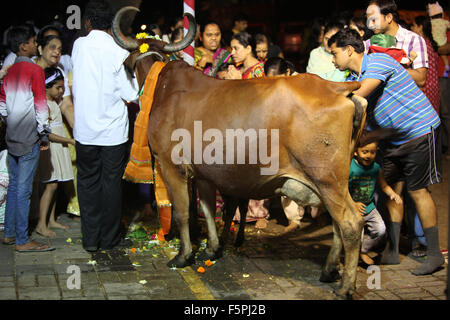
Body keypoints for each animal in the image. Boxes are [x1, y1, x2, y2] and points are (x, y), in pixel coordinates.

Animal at [112, 7, 366, 298]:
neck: (163, 87)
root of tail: (339, 89)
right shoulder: (203, 174)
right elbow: (207, 208)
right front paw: (212, 248)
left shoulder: (170, 166)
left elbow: (182, 211)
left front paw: (183, 255)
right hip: (330, 184)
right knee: (337, 224)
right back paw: (329, 270)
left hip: (327, 179)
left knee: (350, 223)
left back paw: (345, 286)